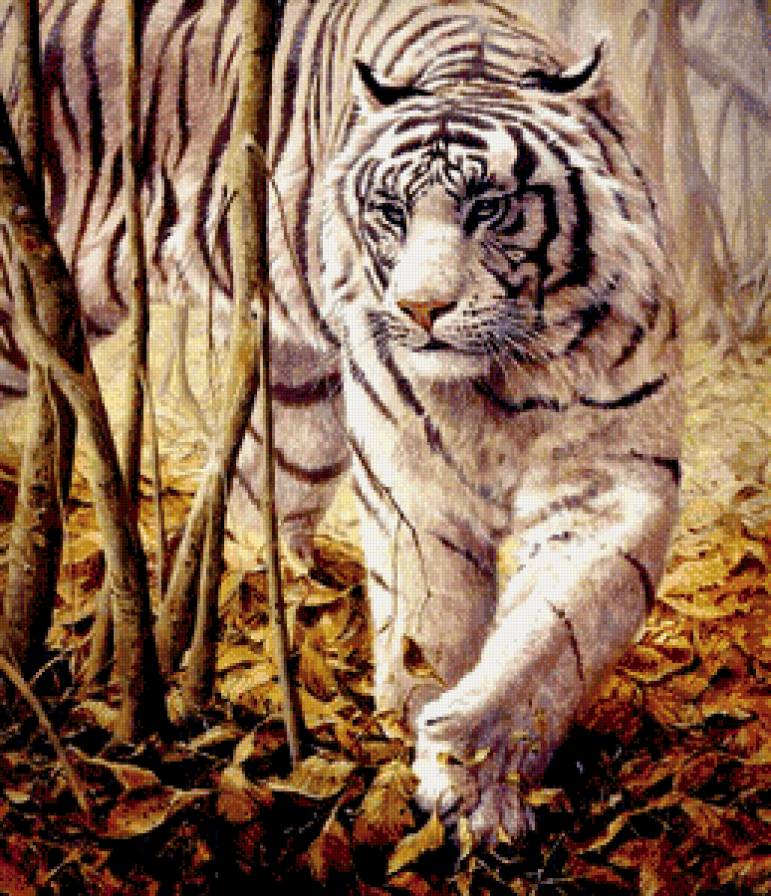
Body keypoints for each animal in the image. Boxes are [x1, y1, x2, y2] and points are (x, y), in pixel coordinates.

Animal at [0, 0, 682, 842]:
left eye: (487, 207)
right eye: (391, 212)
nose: (419, 310)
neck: (510, 371)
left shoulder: (615, 478)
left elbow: (555, 629)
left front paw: (471, 776)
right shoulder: (416, 486)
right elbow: (433, 619)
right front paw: (417, 745)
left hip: (293, 401)